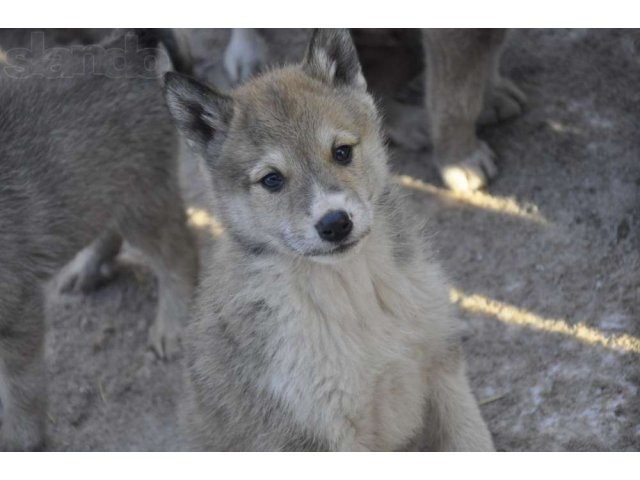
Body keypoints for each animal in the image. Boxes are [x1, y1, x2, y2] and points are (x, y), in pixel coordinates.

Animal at [0, 30, 196, 450]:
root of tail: (125, 45)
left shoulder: (18, 310)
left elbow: (21, 390)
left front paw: (21, 441)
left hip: (141, 199)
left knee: (179, 254)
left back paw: (171, 324)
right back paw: (87, 270)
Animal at [166, 29, 496, 450]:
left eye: (341, 152)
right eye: (271, 179)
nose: (335, 224)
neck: (354, 294)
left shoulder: (444, 369)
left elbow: (474, 440)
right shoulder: (317, 436)